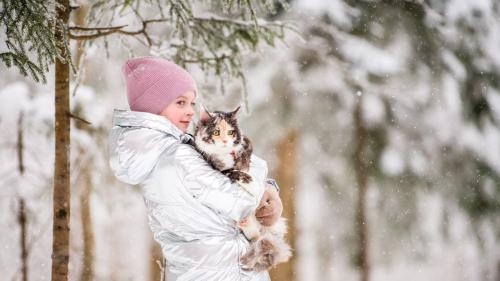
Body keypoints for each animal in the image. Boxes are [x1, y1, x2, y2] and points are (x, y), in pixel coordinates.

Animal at [192, 105, 292, 272]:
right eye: (216, 132)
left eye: (231, 132)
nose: (225, 141)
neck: (225, 153)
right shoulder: (217, 167)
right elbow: (240, 174)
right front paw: (255, 187)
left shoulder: (247, 144)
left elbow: (245, 158)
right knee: (254, 235)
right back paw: (244, 223)